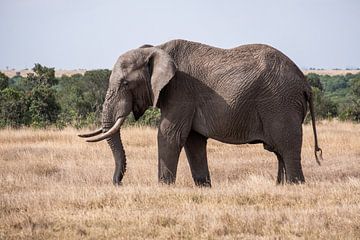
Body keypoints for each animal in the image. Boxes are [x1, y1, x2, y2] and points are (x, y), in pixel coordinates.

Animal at [78, 39, 320, 187]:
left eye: (125, 83)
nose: (117, 183)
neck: (156, 48)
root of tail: (304, 83)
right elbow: (193, 141)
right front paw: (204, 187)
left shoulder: (180, 90)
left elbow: (169, 134)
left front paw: (164, 187)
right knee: (279, 151)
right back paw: (280, 186)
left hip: (281, 103)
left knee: (287, 147)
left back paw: (296, 185)